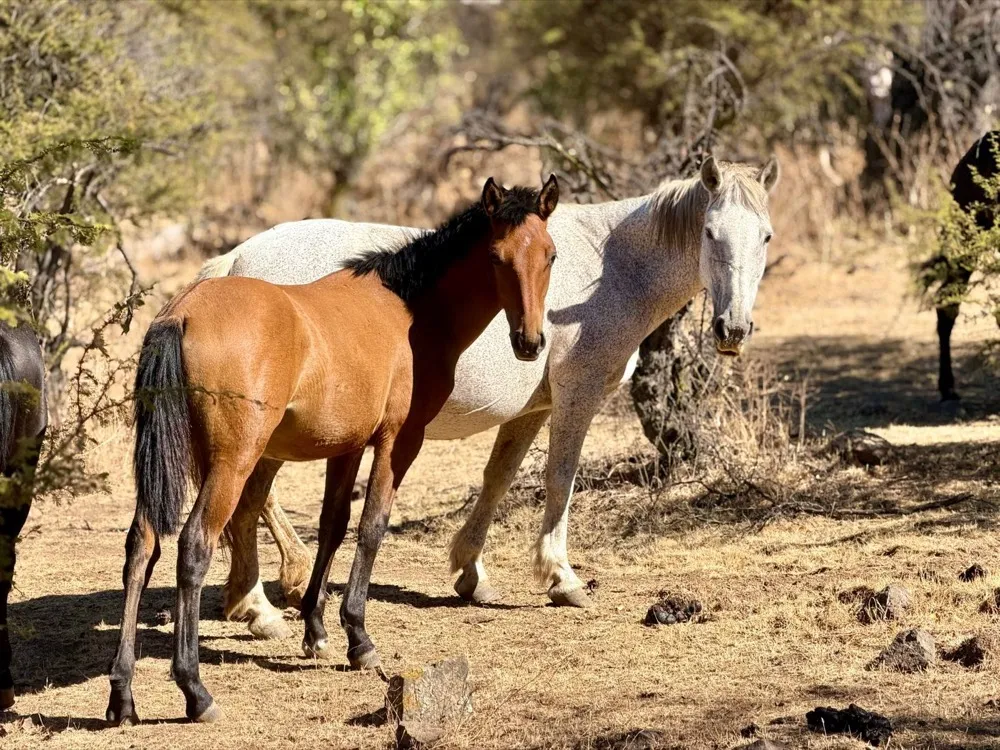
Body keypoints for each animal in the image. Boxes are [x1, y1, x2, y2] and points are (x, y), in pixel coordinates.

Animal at [106, 176, 559, 725]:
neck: (410, 311)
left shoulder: (346, 446)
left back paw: (122, 695)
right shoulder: (397, 441)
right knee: (193, 547)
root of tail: (182, 314)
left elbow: (333, 526)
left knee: (141, 547)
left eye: (550, 255)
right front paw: (358, 638)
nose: (530, 342)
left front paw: (317, 631)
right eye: (496, 257)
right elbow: (372, 527)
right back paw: (196, 690)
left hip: (176, 464)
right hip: (231, 463)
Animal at [194, 155, 778, 633]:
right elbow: (560, 479)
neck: (608, 270)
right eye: (710, 233)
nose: (732, 329)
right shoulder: (578, 395)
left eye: (766, 237)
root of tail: (236, 261)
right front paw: (562, 578)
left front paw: (470, 571)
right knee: (252, 497)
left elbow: (498, 478)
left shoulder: (532, 409)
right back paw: (266, 598)